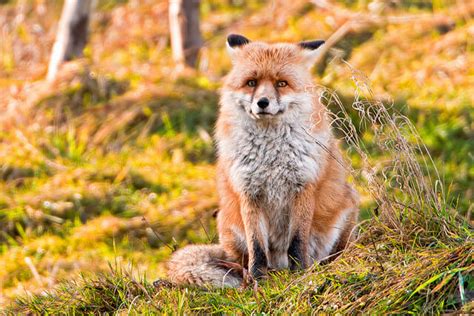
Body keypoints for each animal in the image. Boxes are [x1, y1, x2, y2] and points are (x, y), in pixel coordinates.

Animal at [167, 34, 360, 286]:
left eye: (281, 83)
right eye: (251, 82)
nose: (263, 102)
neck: (271, 156)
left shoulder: (303, 186)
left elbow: (297, 242)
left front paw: (300, 273)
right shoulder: (249, 191)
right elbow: (257, 247)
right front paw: (259, 278)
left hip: (347, 207)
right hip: (228, 226)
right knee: (239, 260)